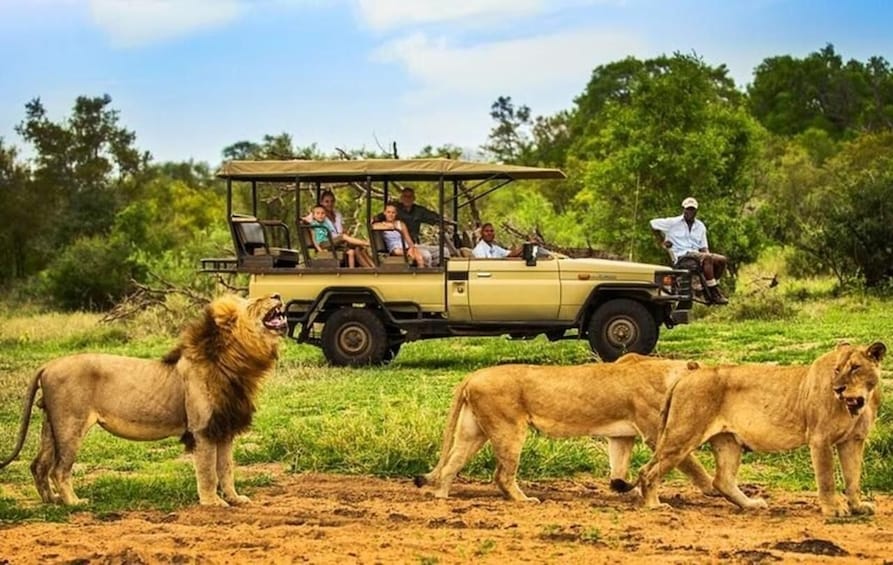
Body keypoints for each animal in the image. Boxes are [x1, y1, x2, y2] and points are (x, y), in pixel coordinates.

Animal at [0, 293, 287, 507]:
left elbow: (226, 469)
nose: (276, 294)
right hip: (71, 424)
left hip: (51, 424)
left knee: (39, 465)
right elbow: (207, 471)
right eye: (254, 302)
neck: (236, 361)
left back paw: (52, 502)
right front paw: (212, 503)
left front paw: (235, 499)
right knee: (59, 469)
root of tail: (48, 365)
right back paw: (74, 503)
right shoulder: (202, 430)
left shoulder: (224, 427)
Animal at [414, 354, 717, 501]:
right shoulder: (655, 433)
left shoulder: (620, 436)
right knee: (501, 475)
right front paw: (713, 488)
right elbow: (691, 463)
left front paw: (624, 488)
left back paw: (441, 497)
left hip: (473, 431)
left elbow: (619, 467)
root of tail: (472, 375)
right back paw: (524, 500)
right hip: (508, 428)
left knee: (452, 463)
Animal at [637, 341, 886, 516]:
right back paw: (654, 505)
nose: (838, 389)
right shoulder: (820, 439)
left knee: (722, 480)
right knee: (647, 471)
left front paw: (857, 507)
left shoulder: (854, 441)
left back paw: (751, 504)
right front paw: (833, 510)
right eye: (836, 369)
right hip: (682, 435)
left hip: (727, 440)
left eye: (855, 368)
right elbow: (827, 478)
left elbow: (853, 478)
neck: (858, 404)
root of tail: (686, 375)